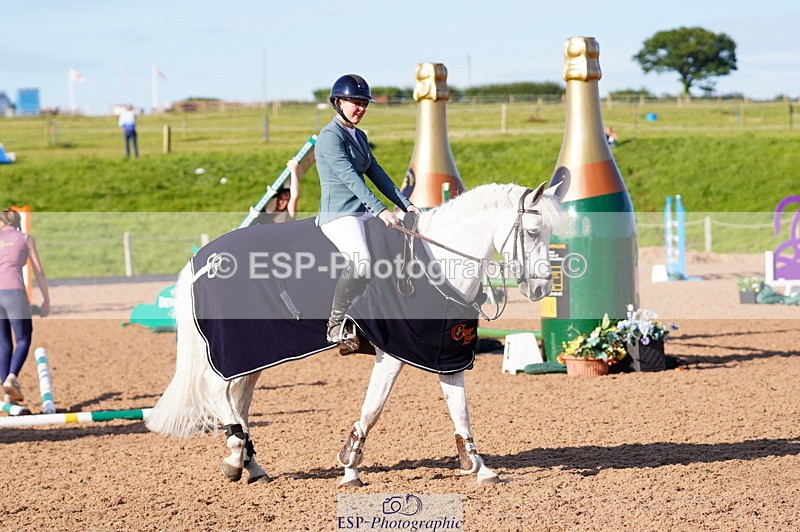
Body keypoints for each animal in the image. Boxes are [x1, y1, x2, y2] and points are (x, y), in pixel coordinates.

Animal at [145, 182, 564, 487]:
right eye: (531, 231)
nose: (542, 288)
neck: (433, 263)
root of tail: (203, 259)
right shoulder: (394, 352)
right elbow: (373, 408)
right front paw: (350, 466)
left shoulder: (446, 353)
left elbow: (460, 410)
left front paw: (479, 466)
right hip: (232, 350)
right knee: (216, 389)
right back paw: (236, 455)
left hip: (253, 353)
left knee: (239, 399)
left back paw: (248, 464)